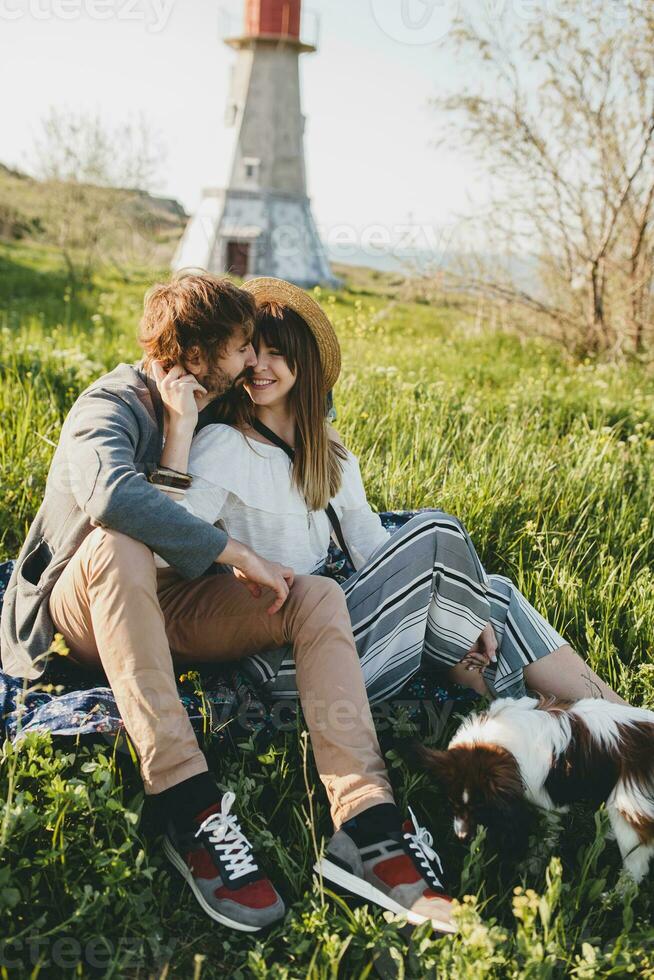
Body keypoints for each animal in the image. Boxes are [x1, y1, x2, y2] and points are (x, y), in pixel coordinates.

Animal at [420, 692, 654, 884]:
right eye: (452, 803)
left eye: (479, 806)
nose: (461, 836)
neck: (494, 743)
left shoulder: (548, 806)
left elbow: (544, 836)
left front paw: (532, 863)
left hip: (628, 814)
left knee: (636, 866)